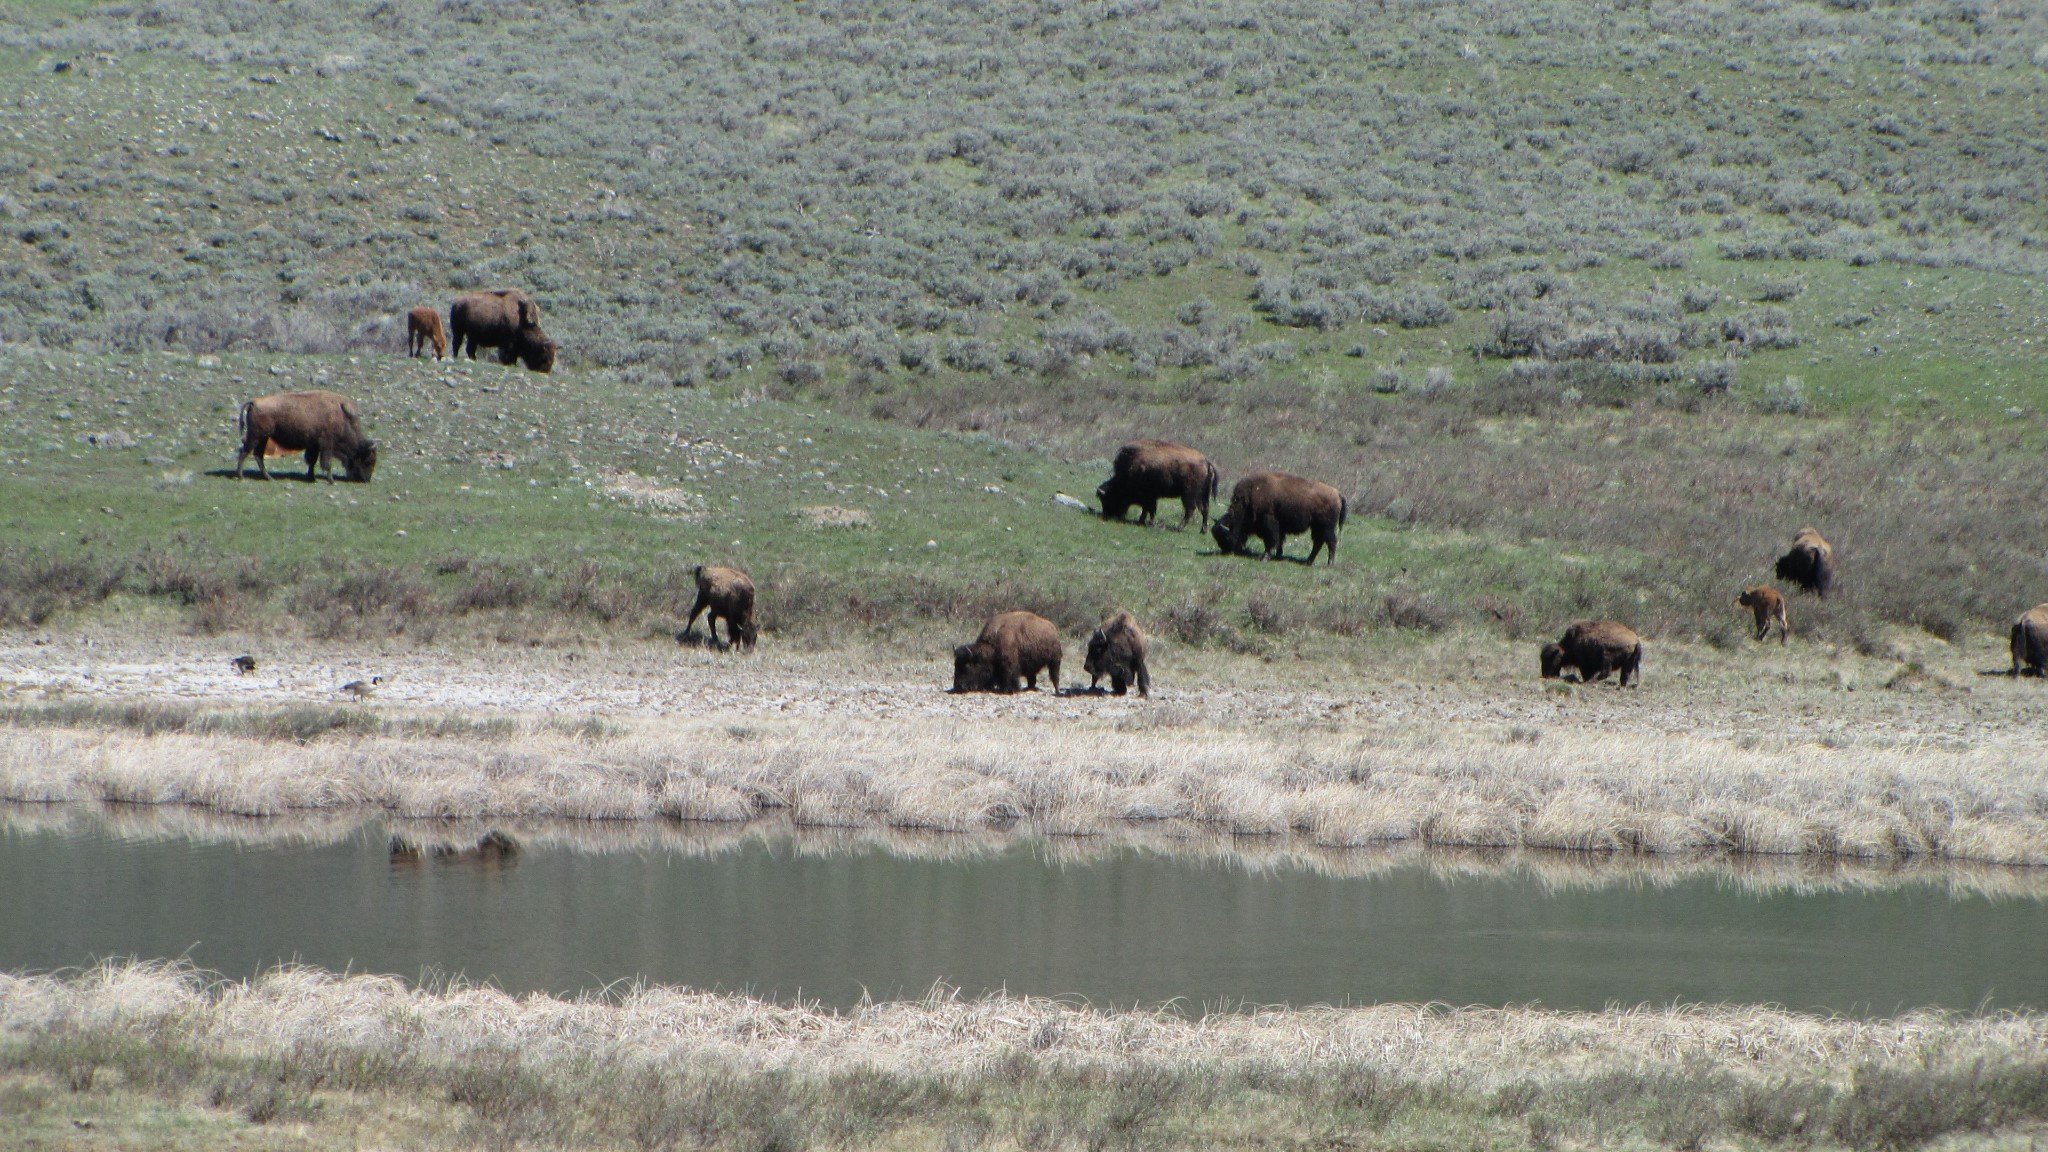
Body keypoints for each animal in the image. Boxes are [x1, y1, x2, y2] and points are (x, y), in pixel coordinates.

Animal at [234, 385, 378, 475]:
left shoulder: (314, 445)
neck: (343, 418)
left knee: (257, 455)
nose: (365, 480)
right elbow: (325, 463)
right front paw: (329, 480)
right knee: (244, 452)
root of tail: (254, 402)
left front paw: (311, 477)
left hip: (263, 438)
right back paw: (241, 476)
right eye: (368, 461)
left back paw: (268, 478)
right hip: (256, 437)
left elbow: (312, 461)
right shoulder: (326, 444)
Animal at [1204, 469, 1351, 561]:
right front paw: (1278, 555)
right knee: (1318, 543)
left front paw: (1265, 557)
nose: (1226, 551)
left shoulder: (1269, 523)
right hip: (1316, 527)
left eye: (1225, 536)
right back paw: (1309, 561)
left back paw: (1329, 563)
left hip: (1326, 527)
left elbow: (1270, 541)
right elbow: (1280, 540)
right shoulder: (1280, 527)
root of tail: (1338, 494)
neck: (1249, 498)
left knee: (1331, 542)